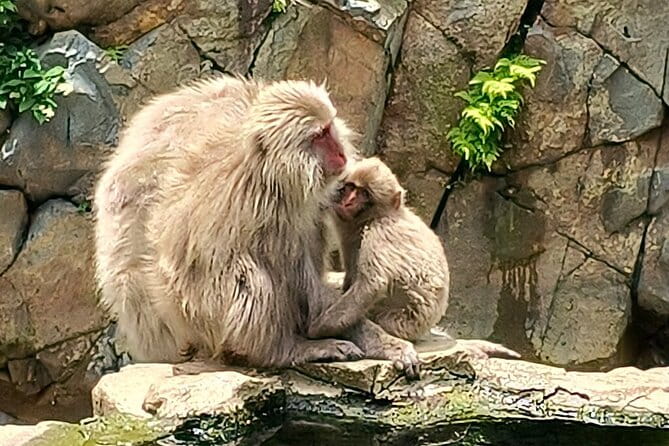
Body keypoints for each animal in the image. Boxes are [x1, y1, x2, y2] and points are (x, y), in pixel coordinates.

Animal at [94, 74, 366, 369]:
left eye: (329, 129)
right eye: (318, 137)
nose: (340, 154)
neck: (272, 176)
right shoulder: (260, 208)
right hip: (192, 317)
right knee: (245, 274)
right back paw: (277, 351)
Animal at [308, 157, 521, 368]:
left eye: (364, 193)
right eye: (351, 188)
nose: (349, 200)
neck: (375, 217)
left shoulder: (380, 232)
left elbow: (372, 285)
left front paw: (318, 328)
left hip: (400, 323)